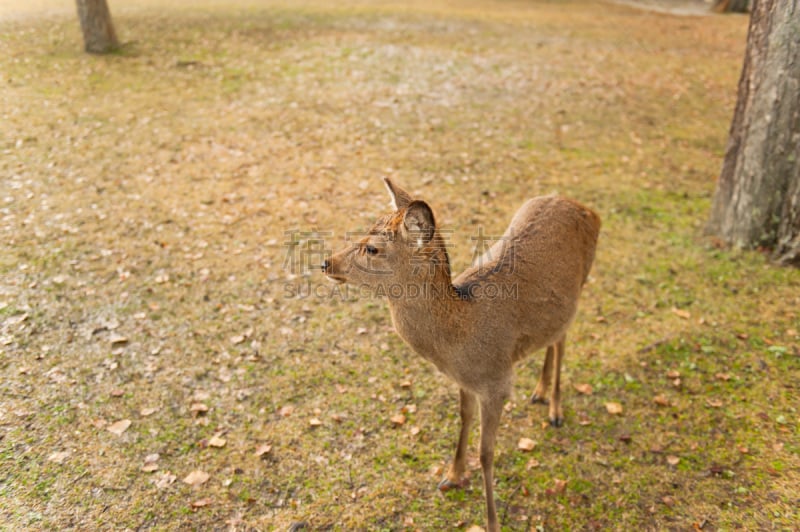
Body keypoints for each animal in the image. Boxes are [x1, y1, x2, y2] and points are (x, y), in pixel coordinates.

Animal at [320, 180, 600, 532]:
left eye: (371, 248)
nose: (326, 262)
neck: (459, 344)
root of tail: (591, 211)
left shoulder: (498, 382)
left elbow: (486, 453)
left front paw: (492, 521)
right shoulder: (465, 382)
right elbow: (463, 419)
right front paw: (451, 476)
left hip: (582, 285)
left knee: (563, 338)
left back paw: (555, 410)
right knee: (554, 336)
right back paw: (539, 391)